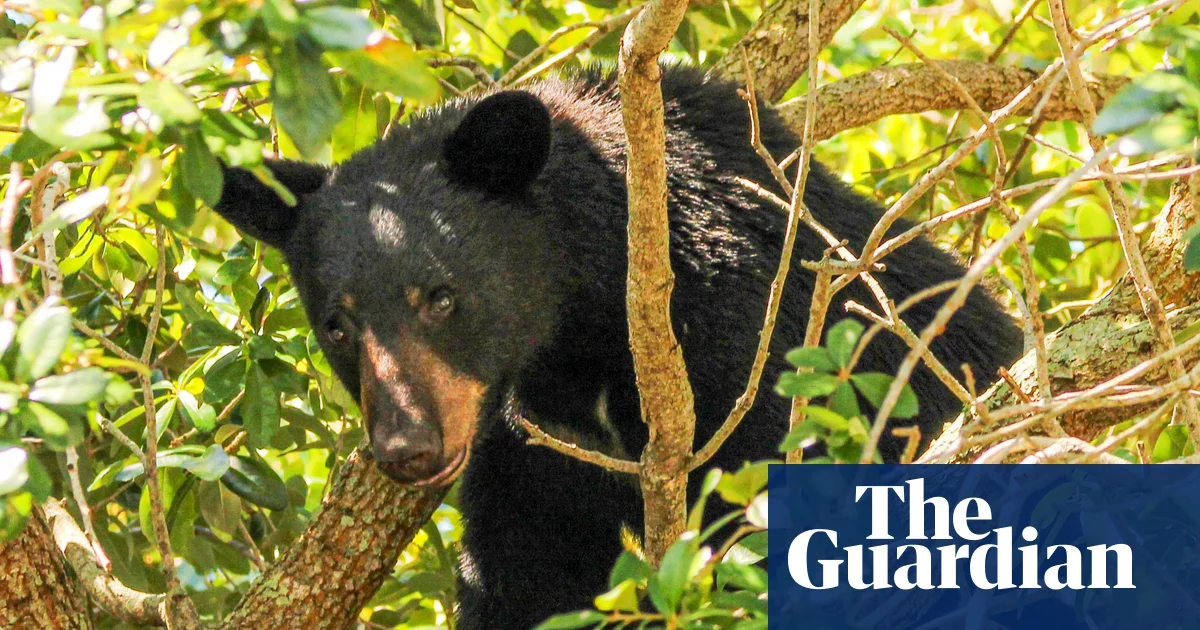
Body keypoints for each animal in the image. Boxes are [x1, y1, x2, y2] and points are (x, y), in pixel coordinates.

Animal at [212, 65, 1023, 629]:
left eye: (440, 296)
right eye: (337, 325)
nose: (407, 446)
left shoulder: (758, 349)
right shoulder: (535, 444)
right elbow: (530, 572)